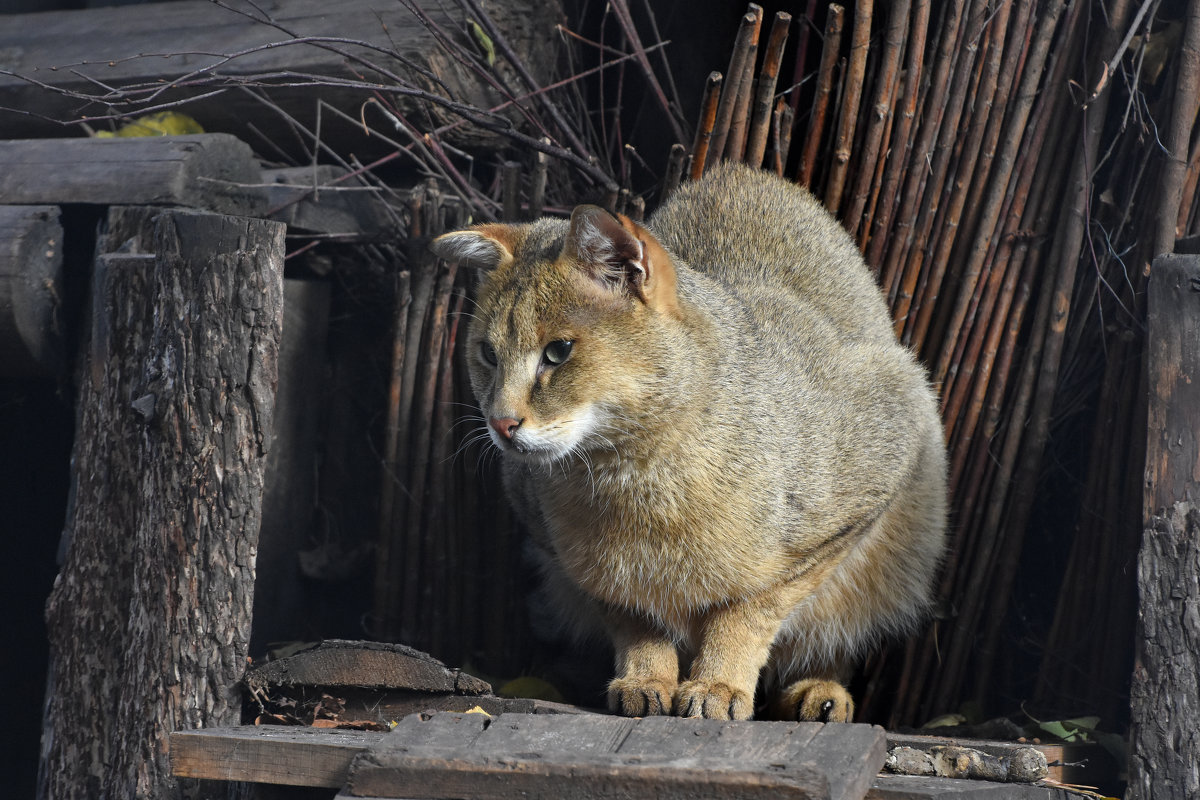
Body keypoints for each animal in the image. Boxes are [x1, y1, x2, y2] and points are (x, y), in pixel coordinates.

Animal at [432, 164, 945, 724]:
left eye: (559, 351)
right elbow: (633, 616)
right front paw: (647, 676)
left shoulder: (872, 478)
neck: (634, 476)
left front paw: (719, 681)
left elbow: (750, 609)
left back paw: (819, 690)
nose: (500, 422)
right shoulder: (572, 556)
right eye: (487, 354)